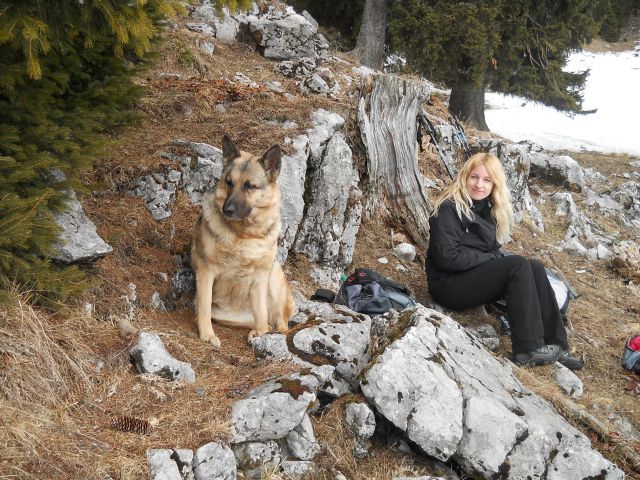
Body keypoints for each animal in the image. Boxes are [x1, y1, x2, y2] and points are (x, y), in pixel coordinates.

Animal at [190, 135, 296, 348]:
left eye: (249, 185)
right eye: (229, 182)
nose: (227, 210)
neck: (244, 235)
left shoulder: (261, 277)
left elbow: (262, 313)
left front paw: (262, 335)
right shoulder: (206, 271)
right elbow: (204, 308)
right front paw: (207, 334)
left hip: (273, 276)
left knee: (278, 319)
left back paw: (274, 331)